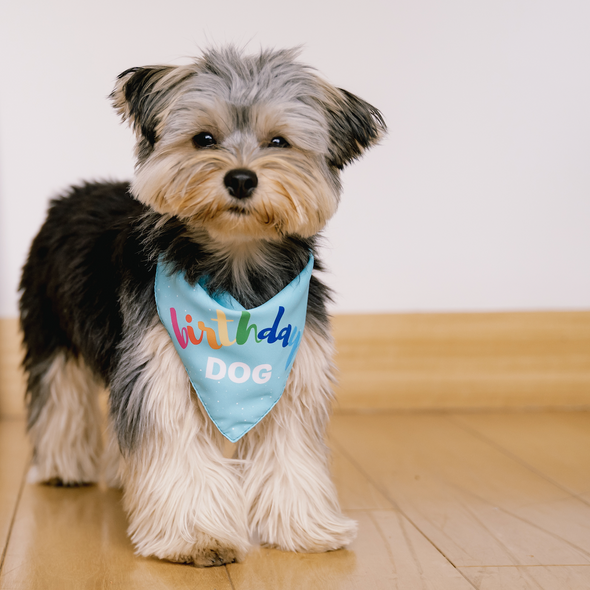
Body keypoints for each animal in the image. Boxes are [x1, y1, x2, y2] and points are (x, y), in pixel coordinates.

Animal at [18, 47, 386, 568]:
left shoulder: (292, 376)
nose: (241, 178)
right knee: (59, 394)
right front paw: (197, 537)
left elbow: (290, 452)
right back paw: (62, 468)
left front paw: (301, 527)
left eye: (279, 141)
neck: (236, 265)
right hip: (50, 324)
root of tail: (71, 194)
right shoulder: (158, 371)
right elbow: (178, 449)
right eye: (204, 139)